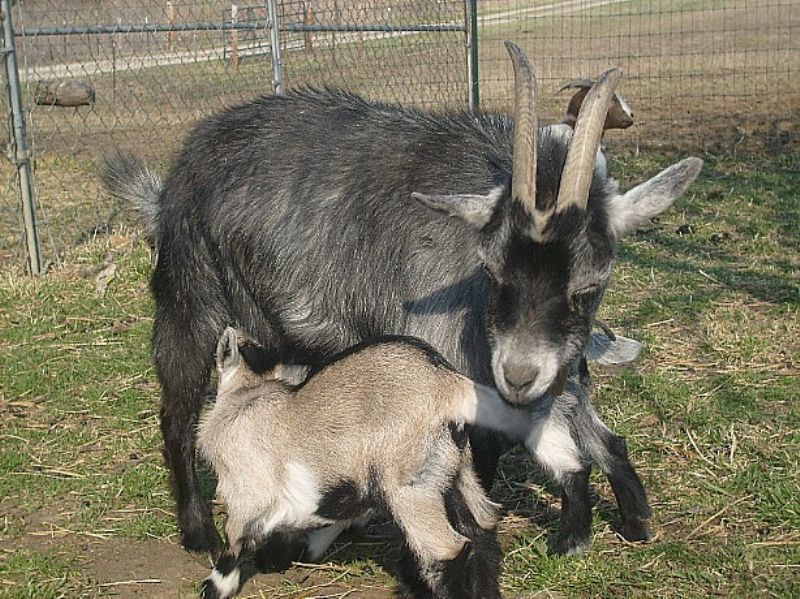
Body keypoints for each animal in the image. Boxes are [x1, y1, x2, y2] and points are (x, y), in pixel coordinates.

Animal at [102, 41, 702, 556]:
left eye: (589, 285)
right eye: (493, 270)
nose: (519, 375)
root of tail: (177, 172)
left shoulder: (545, 369)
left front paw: (625, 521)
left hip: (278, 331)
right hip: (189, 297)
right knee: (177, 412)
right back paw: (199, 532)